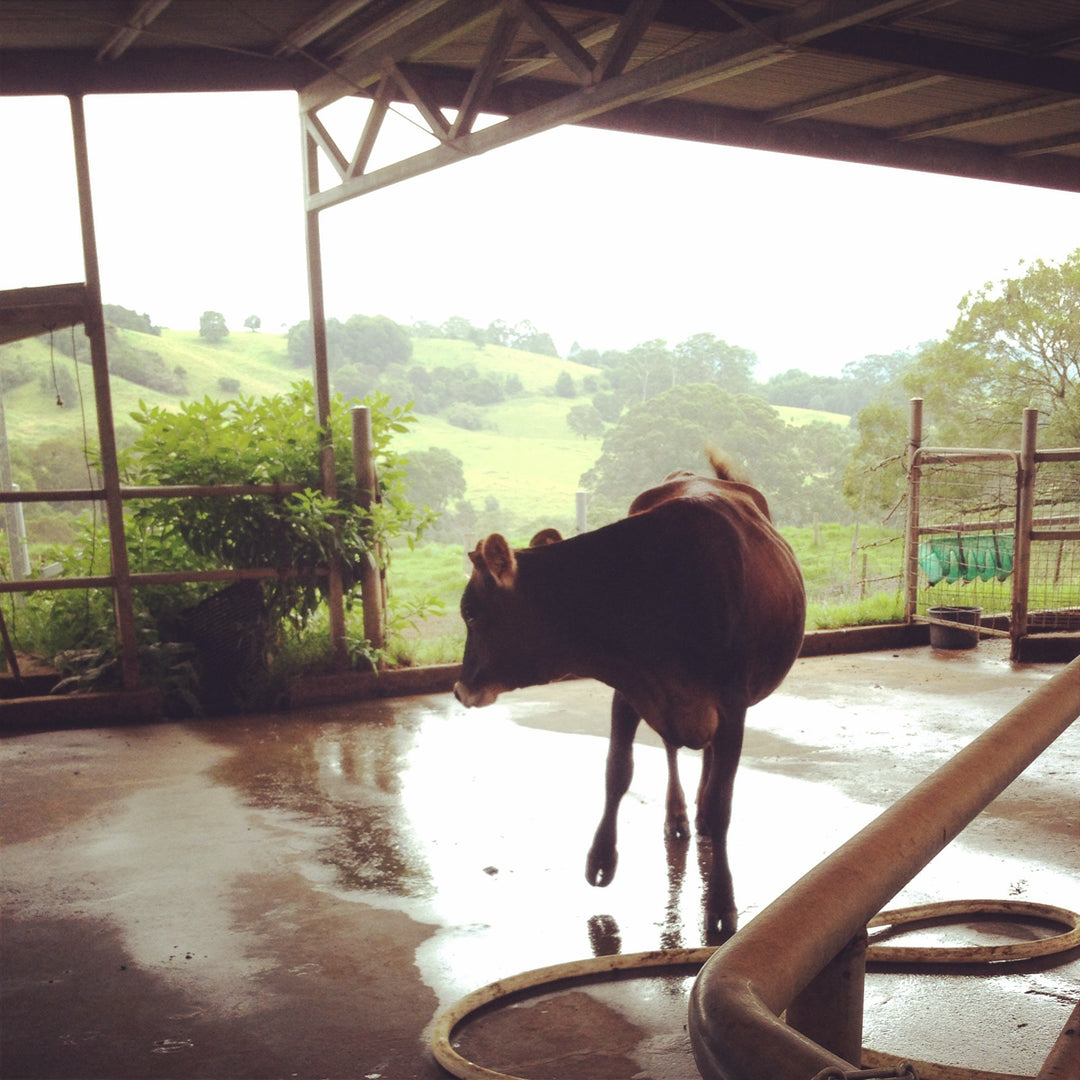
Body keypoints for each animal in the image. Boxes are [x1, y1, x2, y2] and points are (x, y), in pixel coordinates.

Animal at [453, 447, 803, 937]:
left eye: (470, 613)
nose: (460, 687)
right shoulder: (631, 689)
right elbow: (617, 771)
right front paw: (601, 860)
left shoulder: (732, 704)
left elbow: (722, 803)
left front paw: (720, 904)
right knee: (674, 748)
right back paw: (678, 816)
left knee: (709, 766)